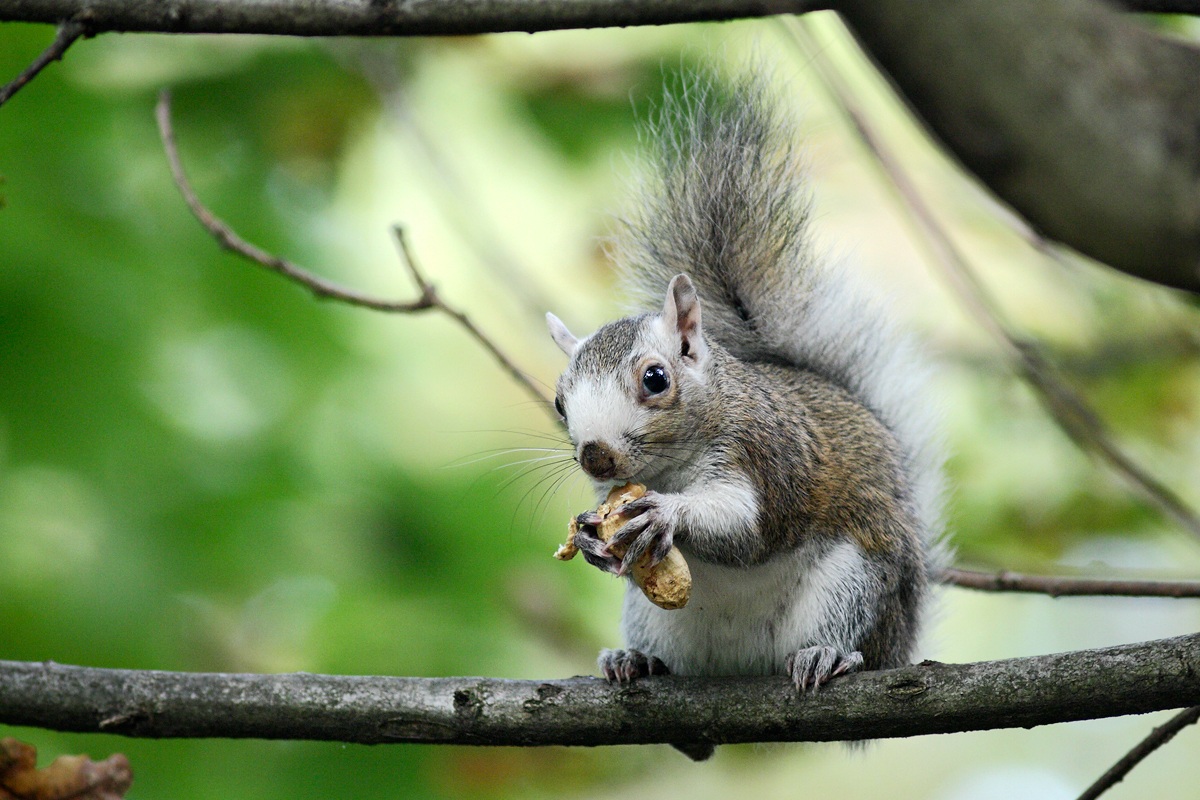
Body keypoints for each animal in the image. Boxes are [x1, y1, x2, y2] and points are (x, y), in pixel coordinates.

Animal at [545, 70, 947, 757]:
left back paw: (830, 657)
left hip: (857, 584)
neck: (673, 465)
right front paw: (595, 540)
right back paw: (637, 663)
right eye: (558, 403)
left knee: (850, 633)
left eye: (656, 379)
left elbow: (747, 529)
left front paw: (665, 514)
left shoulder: (767, 452)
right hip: (652, 616)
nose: (595, 454)